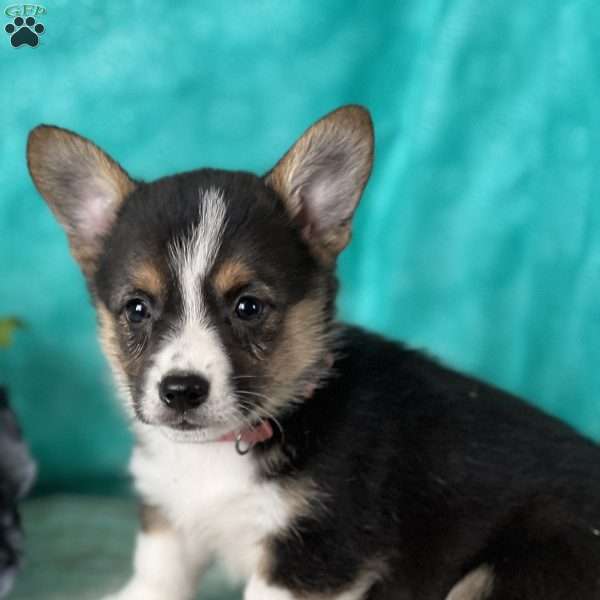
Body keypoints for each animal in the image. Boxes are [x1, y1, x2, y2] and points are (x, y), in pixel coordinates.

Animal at [27, 108, 600, 600]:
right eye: (138, 308)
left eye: (248, 306)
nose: (181, 392)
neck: (228, 445)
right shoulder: (170, 520)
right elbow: (157, 574)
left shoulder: (311, 558)